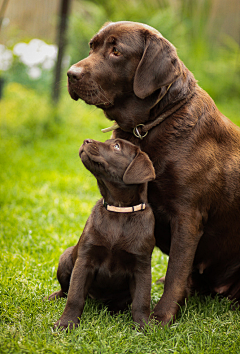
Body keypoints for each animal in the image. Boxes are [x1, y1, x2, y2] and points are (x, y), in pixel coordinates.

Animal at [48, 138, 156, 330]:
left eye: (116, 146)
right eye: (108, 141)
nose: (86, 140)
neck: (119, 210)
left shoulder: (141, 265)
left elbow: (141, 301)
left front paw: (144, 326)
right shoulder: (85, 259)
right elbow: (74, 297)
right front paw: (66, 323)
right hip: (66, 257)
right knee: (65, 290)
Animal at [66, 21, 240, 326]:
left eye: (116, 51)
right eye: (92, 46)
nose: (70, 74)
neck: (148, 126)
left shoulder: (187, 217)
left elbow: (175, 273)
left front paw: (161, 317)